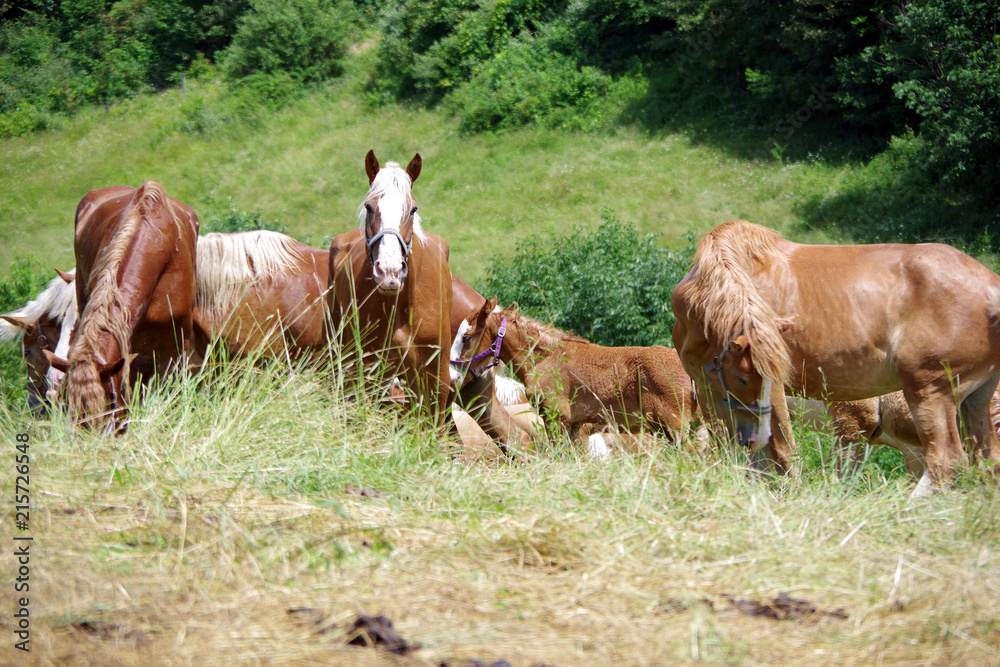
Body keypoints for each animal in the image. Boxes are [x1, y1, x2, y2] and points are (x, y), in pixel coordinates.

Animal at [327, 151, 453, 422]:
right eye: (369, 207)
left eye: (413, 209)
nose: (389, 272)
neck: (402, 306)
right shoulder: (370, 369)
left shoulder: (436, 378)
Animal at [456, 300, 700, 442]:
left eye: (467, 337)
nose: (455, 371)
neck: (546, 359)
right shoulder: (576, 425)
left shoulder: (557, 418)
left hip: (674, 426)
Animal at [671, 219, 1000, 494]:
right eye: (741, 377)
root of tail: (991, 287)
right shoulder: (720, 394)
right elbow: (748, 455)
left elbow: (779, 452)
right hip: (976, 398)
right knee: (988, 461)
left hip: (931, 393)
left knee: (946, 461)